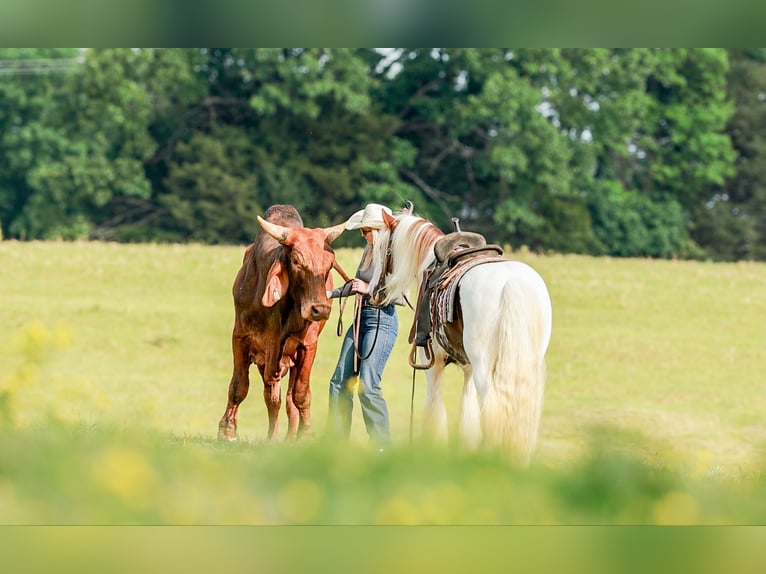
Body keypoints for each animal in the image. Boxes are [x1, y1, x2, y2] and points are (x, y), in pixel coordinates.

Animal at [368, 208, 552, 465]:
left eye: (384, 250)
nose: (373, 292)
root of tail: (512, 283)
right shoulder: (468, 368)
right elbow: (468, 413)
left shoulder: (432, 364)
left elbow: (435, 408)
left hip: (485, 368)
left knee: (493, 406)